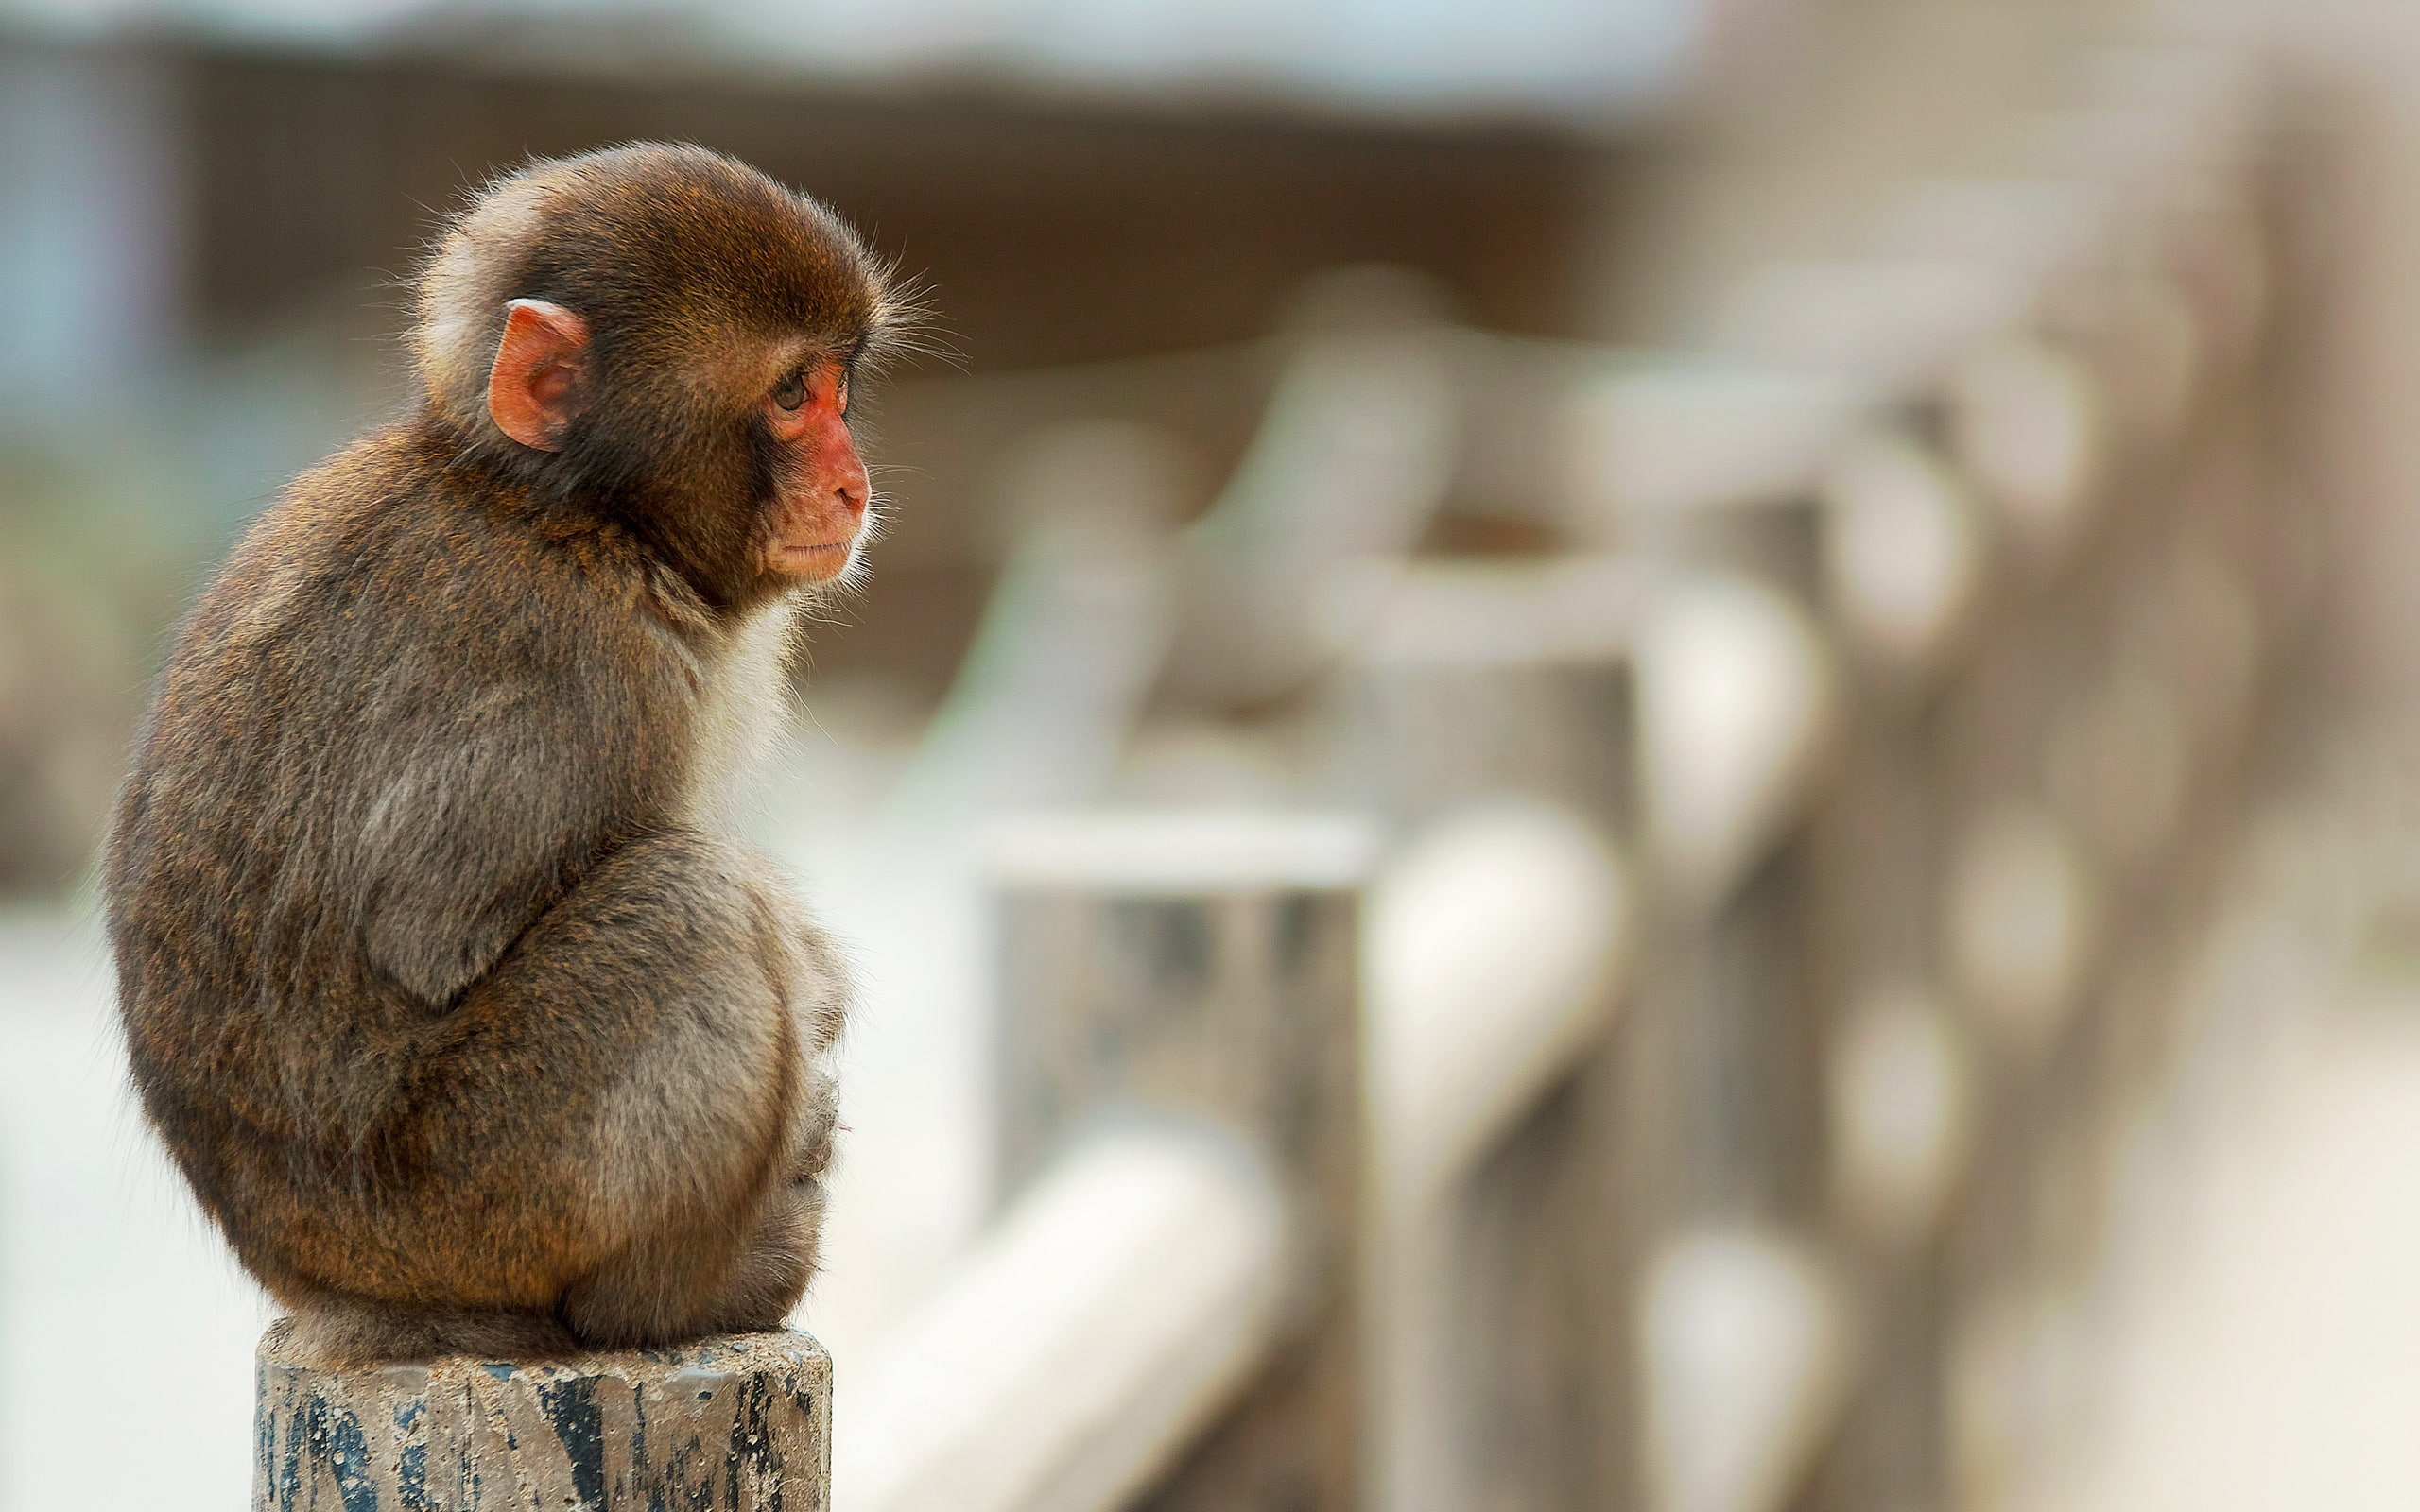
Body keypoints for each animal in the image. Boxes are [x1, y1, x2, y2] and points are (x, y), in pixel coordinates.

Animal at [103, 143, 916, 1366]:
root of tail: (320, 1283)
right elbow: (438, 935)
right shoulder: (576, 668)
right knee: (691, 903)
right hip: (473, 1200)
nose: (852, 482)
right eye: (788, 395)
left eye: (837, 388)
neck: (575, 514)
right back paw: (675, 1299)